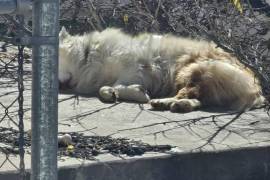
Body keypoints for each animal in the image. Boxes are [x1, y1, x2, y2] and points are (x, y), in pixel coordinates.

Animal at [58, 27, 264, 112]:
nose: (60, 85)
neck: (88, 56)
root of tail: (257, 89)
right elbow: (105, 88)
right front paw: (111, 93)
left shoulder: (137, 69)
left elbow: (120, 84)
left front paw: (138, 93)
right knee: (197, 99)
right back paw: (178, 105)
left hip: (194, 69)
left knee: (188, 92)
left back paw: (163, 102)